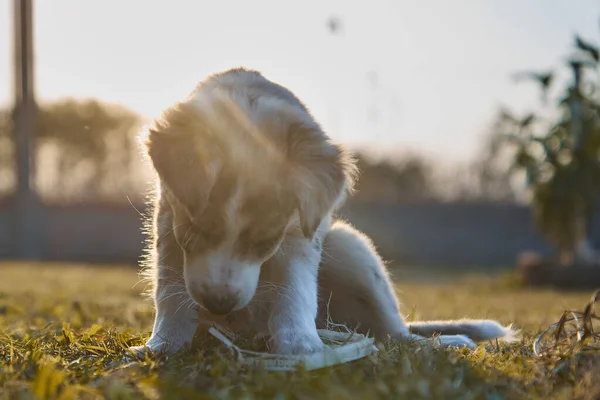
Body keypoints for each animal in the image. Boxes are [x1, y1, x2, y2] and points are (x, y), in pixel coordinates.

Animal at [130, 68, 516, 356]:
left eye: (264, 243)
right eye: (193, 232)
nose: (219, 304)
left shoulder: (301, 235)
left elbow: (295, 288)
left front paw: (300, 344)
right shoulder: (168, 220)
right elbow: (169, 289)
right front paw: (164, 344)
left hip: (350, 246)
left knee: (396, 333)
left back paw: (444, 342)